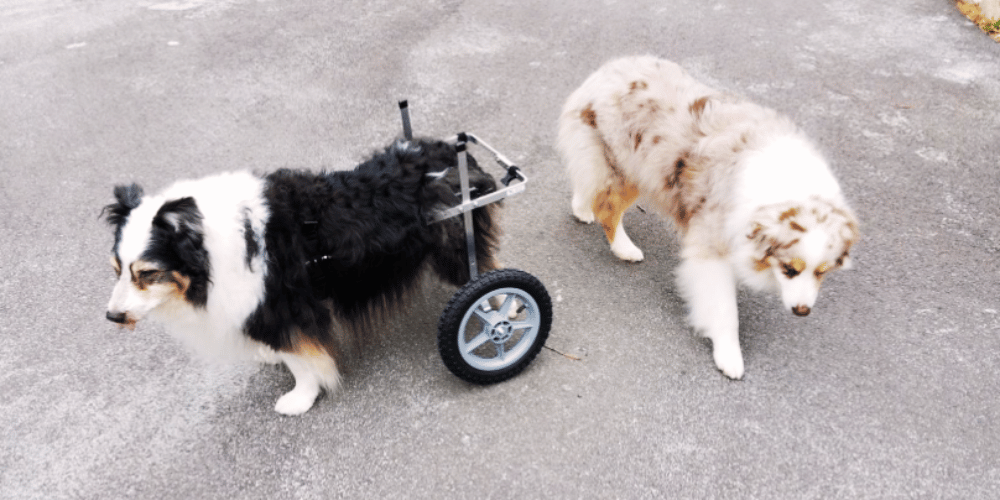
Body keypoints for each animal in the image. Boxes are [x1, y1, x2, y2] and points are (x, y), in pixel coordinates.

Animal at [103, 140, 500, 414]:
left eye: (148, 273)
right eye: (116, 269)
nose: (113, 317)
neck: (210, 250)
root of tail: (450, 153)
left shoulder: (287, 307)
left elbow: (303, 360)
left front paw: (299, 398)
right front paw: (269, 354)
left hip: (454, 247)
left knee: (487, 273)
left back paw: (503, 310)